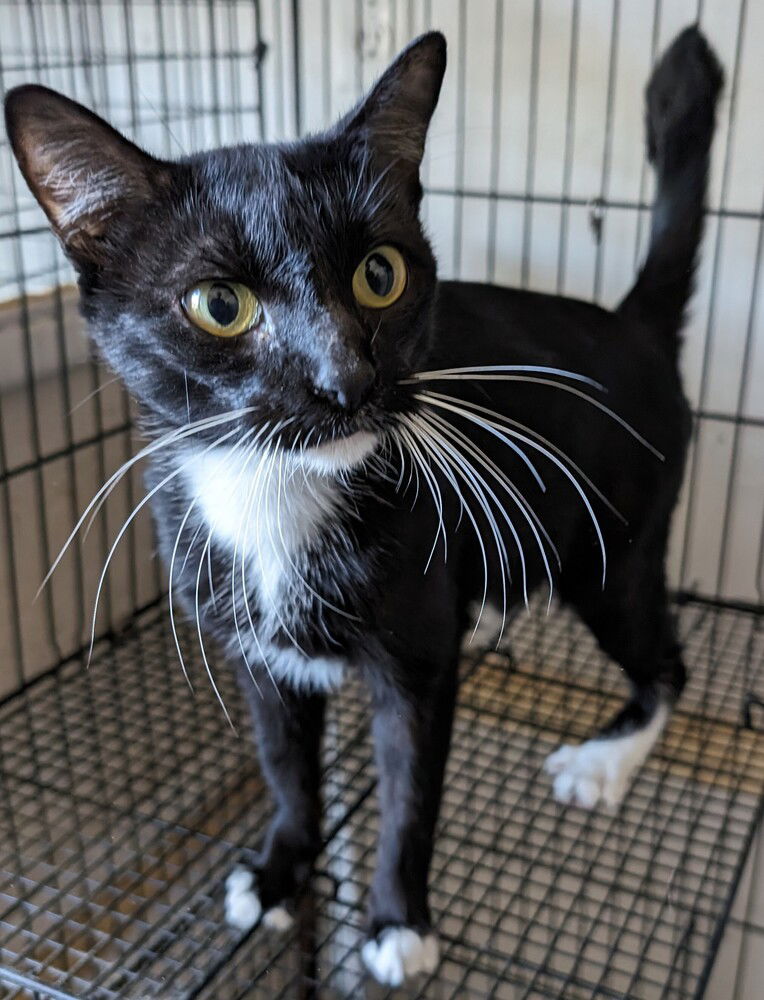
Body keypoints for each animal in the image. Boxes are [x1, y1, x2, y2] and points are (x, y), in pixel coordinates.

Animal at [5, 24, 723, 987]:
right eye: (219, 304)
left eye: (380, 274)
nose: (345, 380)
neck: (275, 497)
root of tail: (632, 321)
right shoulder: (254, 652)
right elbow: (284, 766)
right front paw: (280, 866)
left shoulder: (418, 666)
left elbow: (410, 795)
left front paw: (397, 922)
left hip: (616, 546)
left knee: (666, 664)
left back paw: (605, 762)